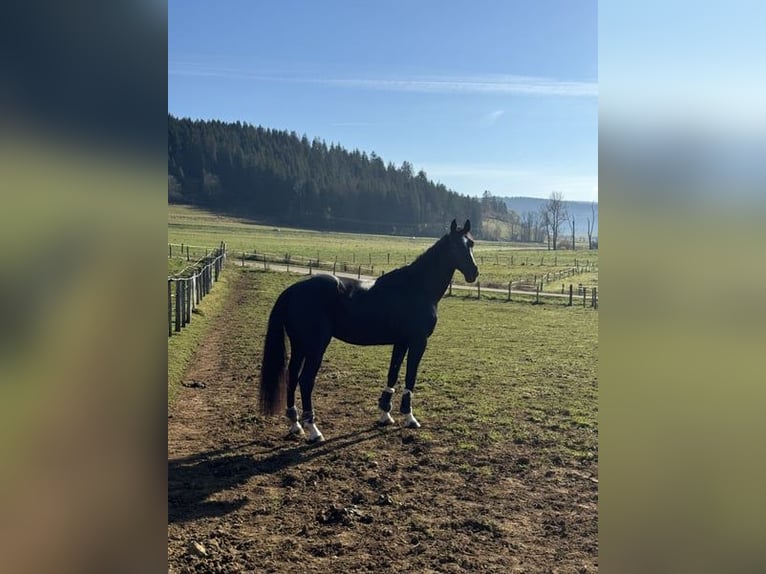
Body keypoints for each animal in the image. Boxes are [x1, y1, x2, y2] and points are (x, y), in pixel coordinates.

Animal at [258, 219, 479, 442]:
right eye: (455, 246)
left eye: (471, 244)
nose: (474, 273)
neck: (417, 287)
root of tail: (292, 290)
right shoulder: (418, 342)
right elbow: (411, 376)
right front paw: (409, 418)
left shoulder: (401, 342)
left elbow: (393, 374)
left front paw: (385, 414)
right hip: (315, 347)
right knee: (305, 381)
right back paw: (313, 430)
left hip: (300, 345)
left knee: (292, 376)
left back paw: (295, 425)